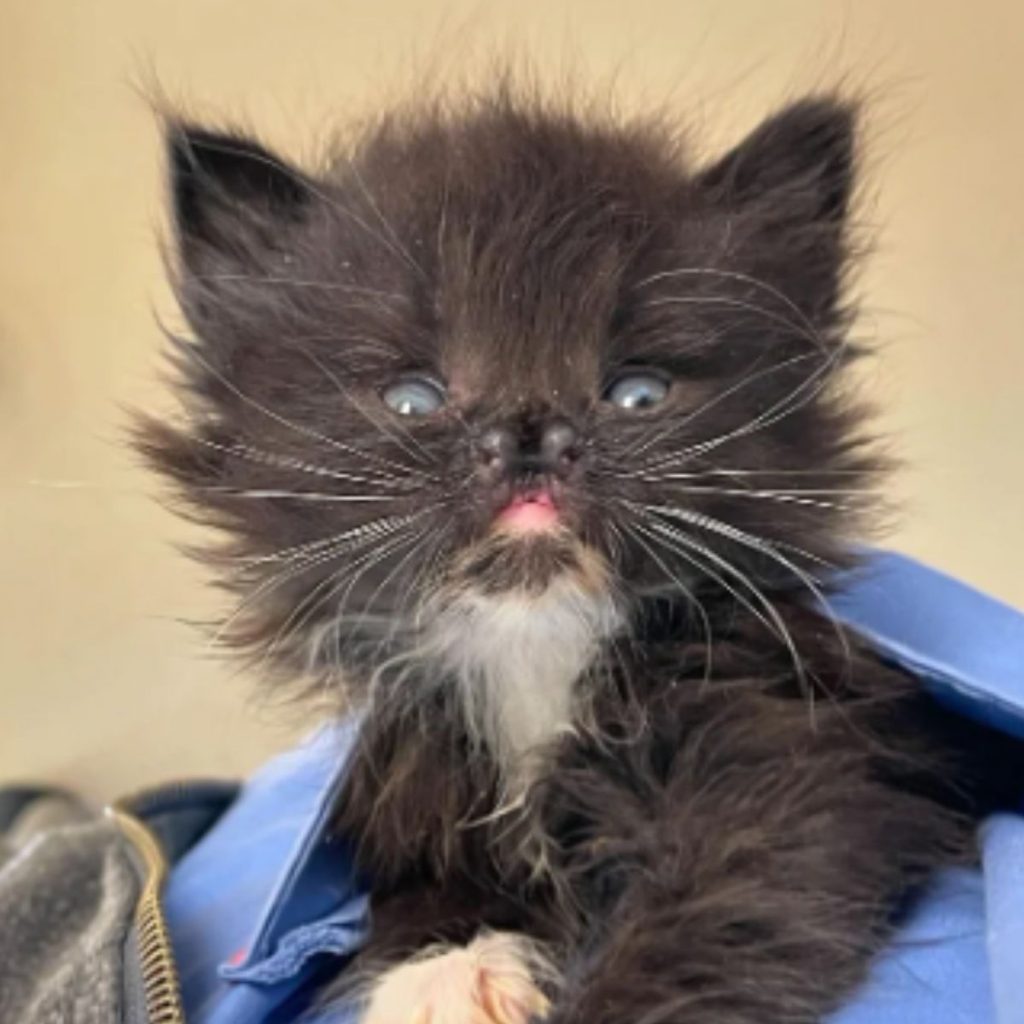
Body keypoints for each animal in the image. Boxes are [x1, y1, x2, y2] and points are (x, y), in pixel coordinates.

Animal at [140, 83, 1003, 1019]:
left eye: (638, 393)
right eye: (413, 400)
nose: (530, 434)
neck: (535, 647)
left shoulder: (806, 753)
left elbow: (746, 903)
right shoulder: (414, 772)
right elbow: (409, 893)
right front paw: (448, 970)